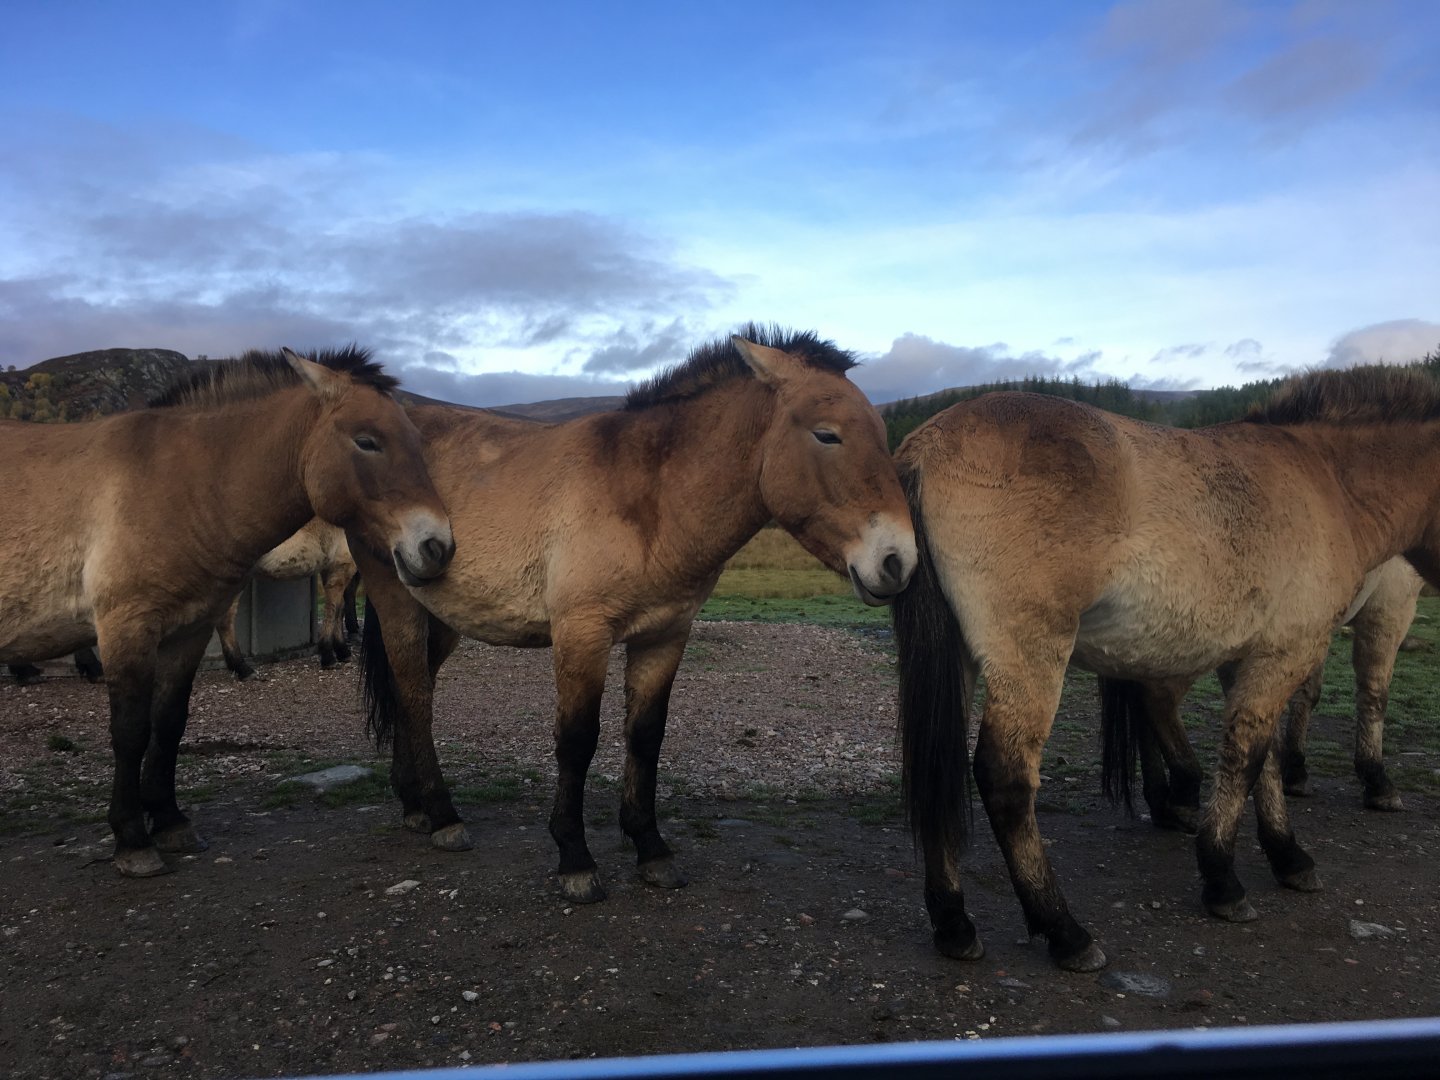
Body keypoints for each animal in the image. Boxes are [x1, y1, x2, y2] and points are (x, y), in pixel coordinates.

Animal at [214, 518, 359, 679]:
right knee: (225, 620)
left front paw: (342, 651)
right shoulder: (342, 566)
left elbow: (339, 610)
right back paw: (243, 669)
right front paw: (328, 658)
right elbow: (333, 610)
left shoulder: (330, 568)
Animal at [358, 326, 915, 903]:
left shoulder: (664, 636)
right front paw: (575, 858)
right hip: (398, 600)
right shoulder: (582, 634)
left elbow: (646, 737)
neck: (648, 498)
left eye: (882, 432)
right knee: (415, 697)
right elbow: (577, 741)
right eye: (827, 435)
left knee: (411, 691)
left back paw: (416, 806)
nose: (899, 561)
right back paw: (443, 816)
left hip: (442, 619)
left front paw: (651, 848)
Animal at [1101, 556, 1426, 832]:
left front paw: (1295, 769)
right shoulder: (1393, 597)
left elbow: (1308, 692)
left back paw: (1162, 802)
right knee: (1157, 693)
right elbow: (1375, 693)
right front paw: (1377, 780)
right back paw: (1184, 790)